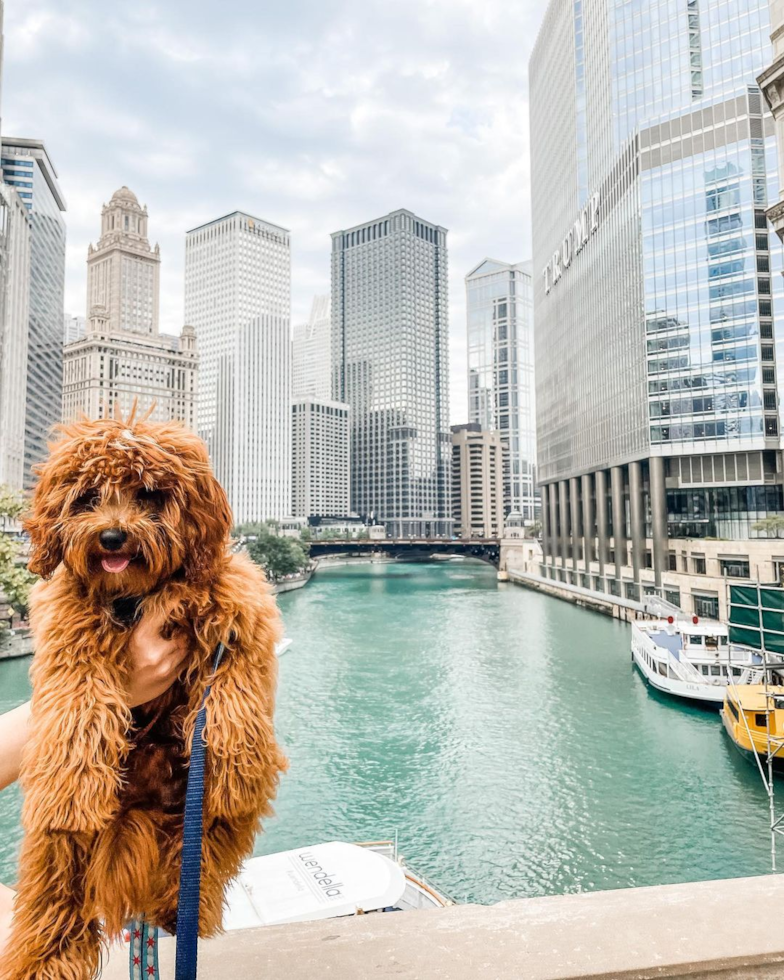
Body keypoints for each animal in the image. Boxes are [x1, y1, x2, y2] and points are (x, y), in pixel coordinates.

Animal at [0, 414, 288, 980]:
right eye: (88, 496)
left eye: (150, 495)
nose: (113, 536)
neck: (135, 594)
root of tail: (138, 813)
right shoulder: (67, 629)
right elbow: (78, 700)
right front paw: (73, 781)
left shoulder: (238, 606)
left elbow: (237, 683)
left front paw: (237, 758)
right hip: (57, 847)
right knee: (54, 895)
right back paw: (45, 960)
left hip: (201, 817)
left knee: (203, 852)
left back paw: (179, 909)